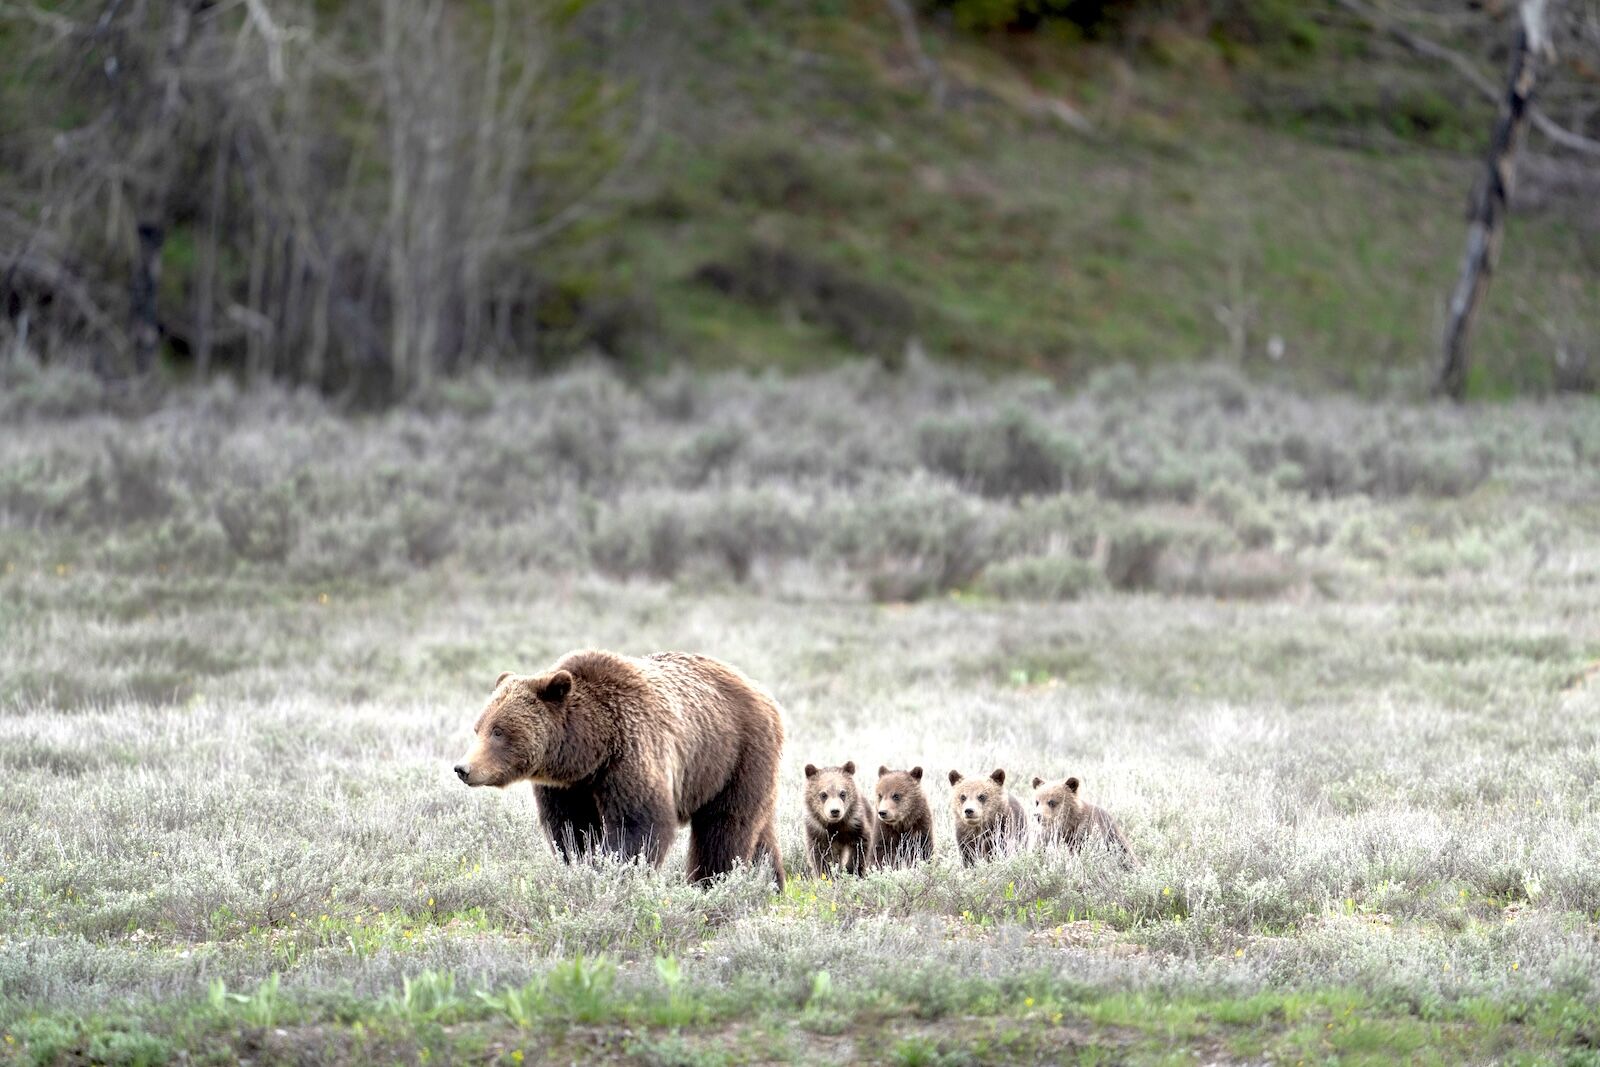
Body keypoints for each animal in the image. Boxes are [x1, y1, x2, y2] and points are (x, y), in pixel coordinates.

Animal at [453, 649, 785, 889]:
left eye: (499, 731)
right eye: (478, 728)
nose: (463, 768)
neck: (590, 749)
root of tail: (763, 693)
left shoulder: (632, 752)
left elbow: (639, 824)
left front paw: (614, 872)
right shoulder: (568, 787)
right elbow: (573, 829)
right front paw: (584, 864)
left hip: (733, 755)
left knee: (724, 826)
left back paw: (711, 884)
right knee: (760, 831)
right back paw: (770, 883)